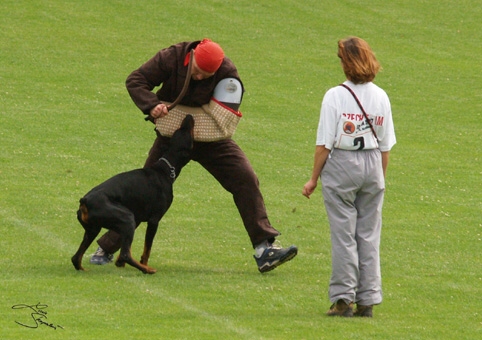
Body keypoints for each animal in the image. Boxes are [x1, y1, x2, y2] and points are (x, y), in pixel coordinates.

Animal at [71, 114, 194, 274]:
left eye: (179, 129)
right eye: (187, 132)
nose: (189, 116)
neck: (165, 170)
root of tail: (85, 201)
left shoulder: (140, 217)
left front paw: (120, 264)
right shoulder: (154, 220)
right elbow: (147, 249)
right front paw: (144, 264)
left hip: (93, 229)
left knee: (76, 257)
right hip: (127, 219)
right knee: (125, 254)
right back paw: (147, 270)